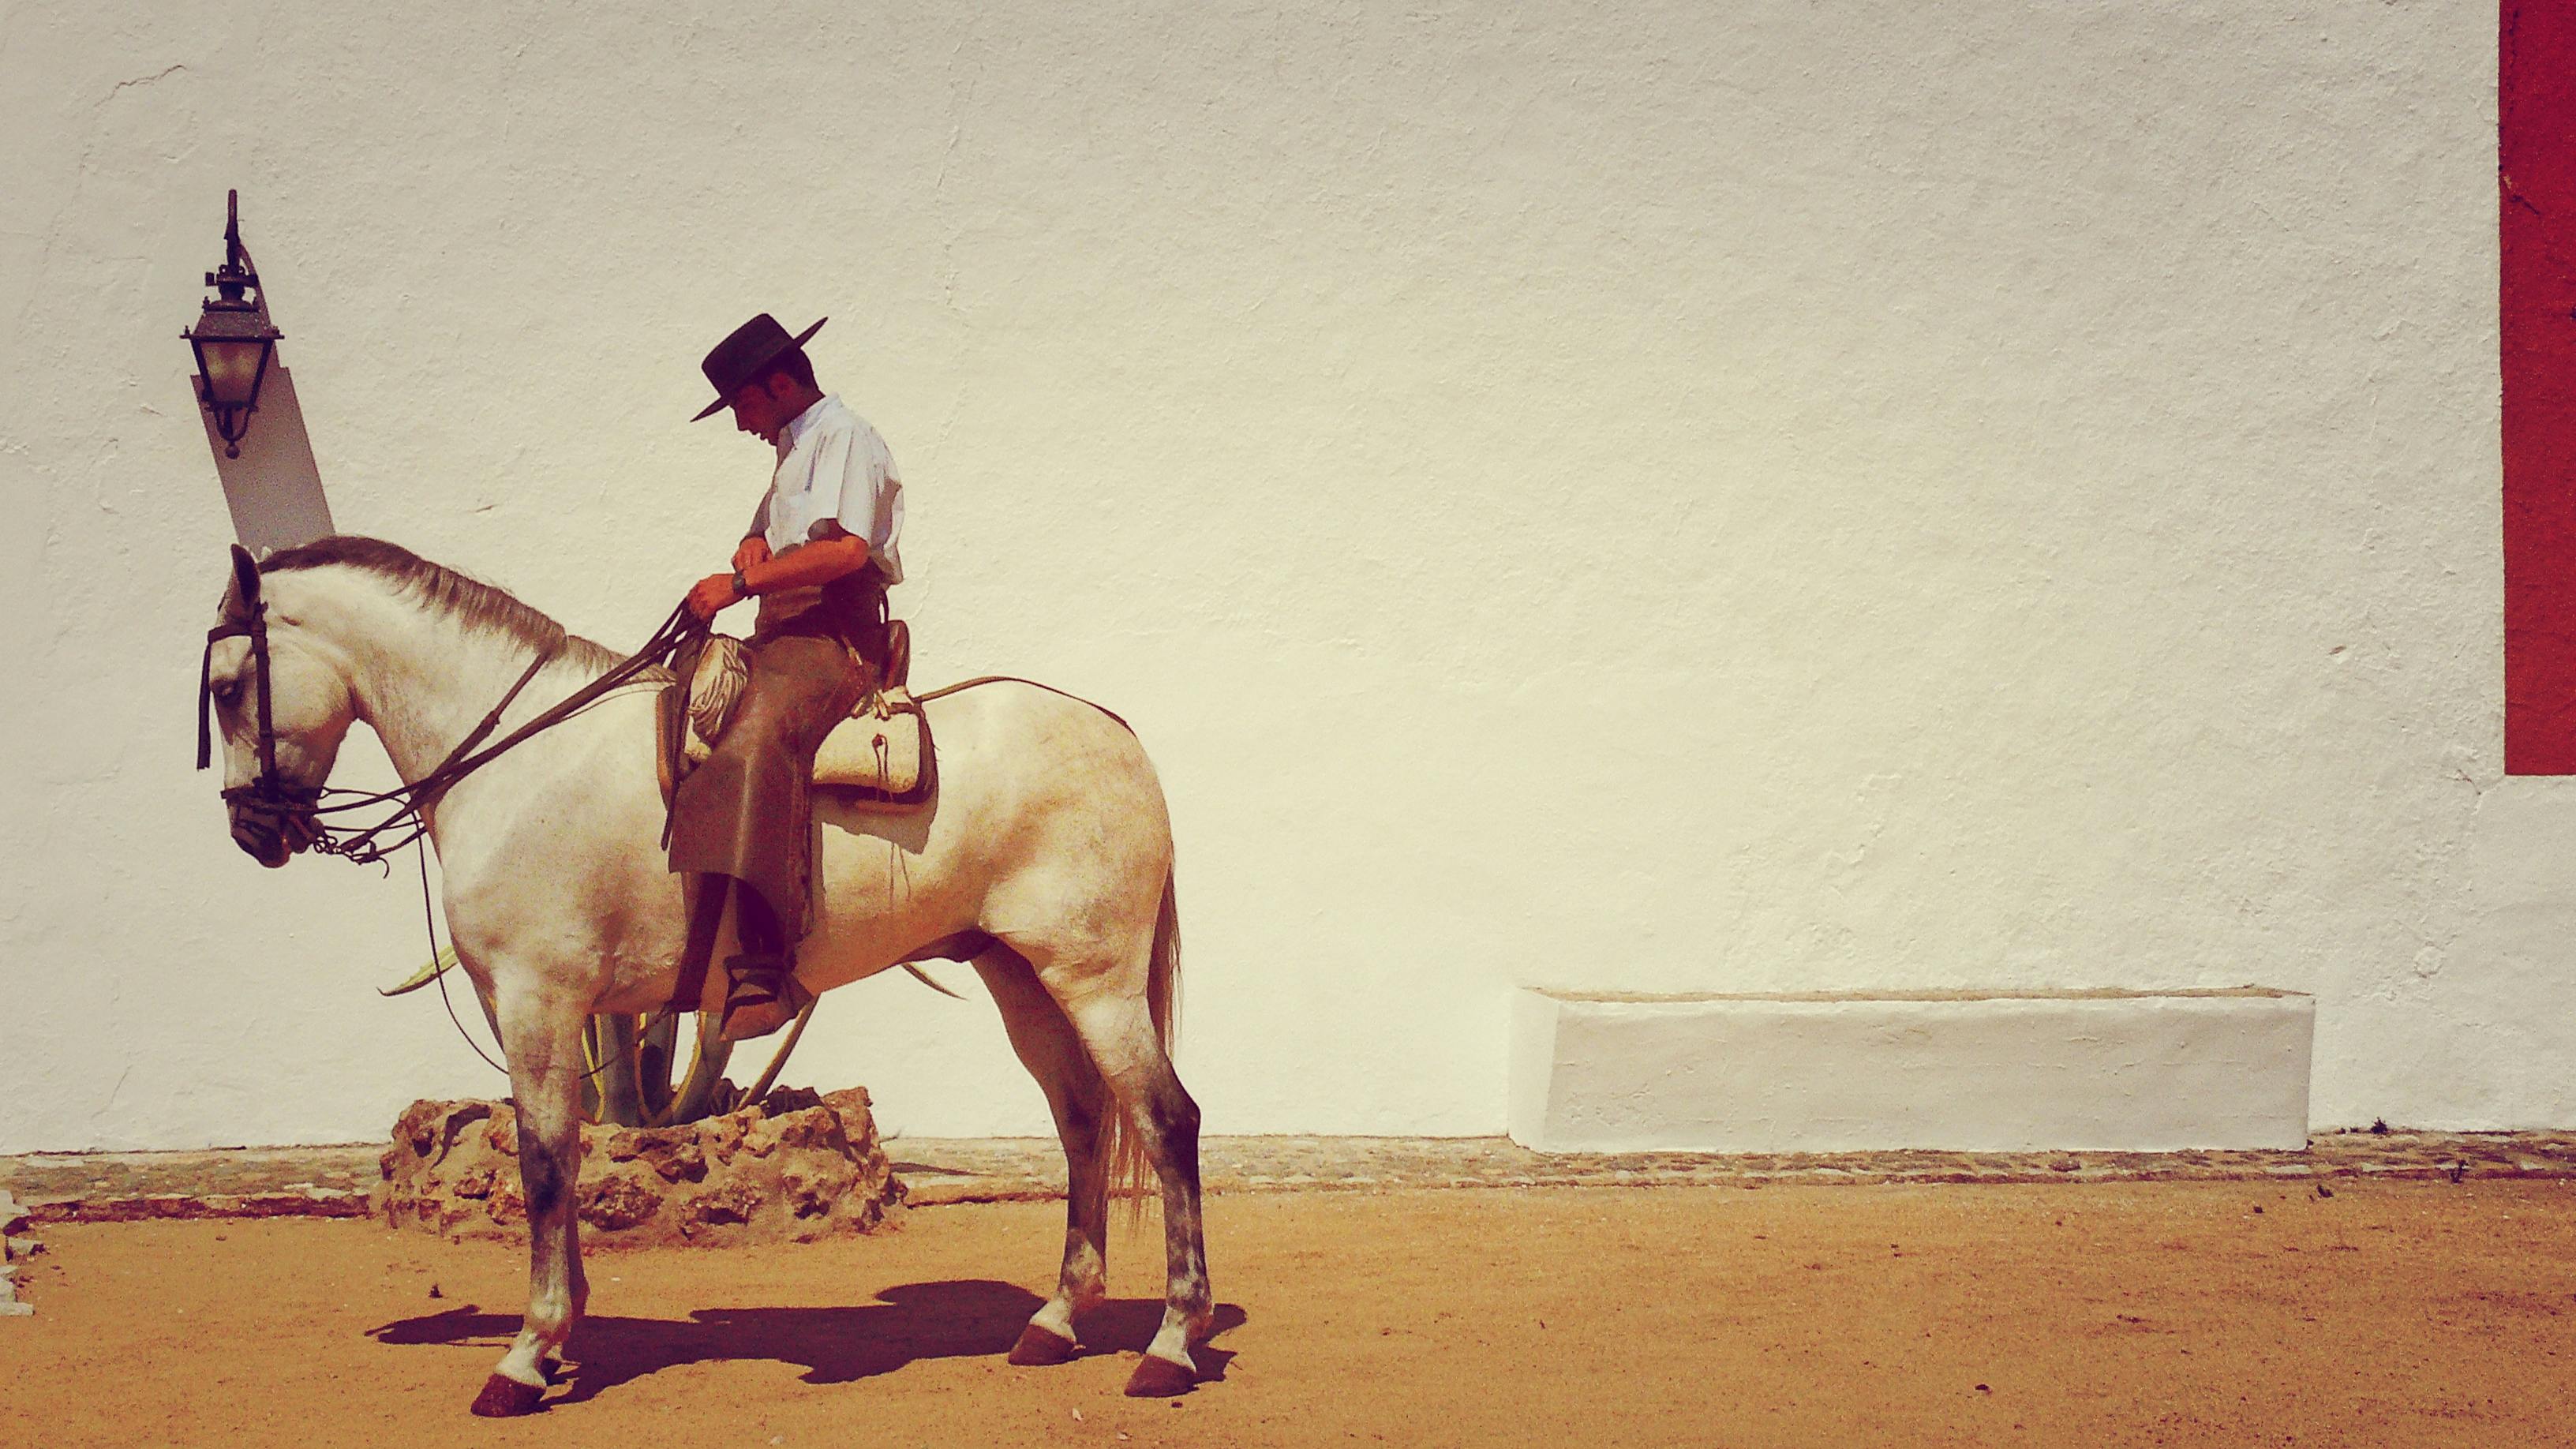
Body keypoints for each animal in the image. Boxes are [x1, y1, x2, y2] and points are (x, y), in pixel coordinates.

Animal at [200, 536, 1205, 1402]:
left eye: (225, 686)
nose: (252, 831)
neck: (528, 761)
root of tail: (1113, 730)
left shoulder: (539, 999)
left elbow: (544, 1164)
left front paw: (526, 1355)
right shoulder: (530, 1008)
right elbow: (560, 1151)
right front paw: (559, 1338)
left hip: (1096, 982)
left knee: (1166, 1120)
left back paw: (1170, 1344)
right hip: (1020, 976)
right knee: (1083, 1119)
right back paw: (1057, 1322)